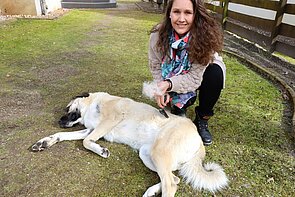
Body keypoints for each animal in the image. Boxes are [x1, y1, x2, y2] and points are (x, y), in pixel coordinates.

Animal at [31, 92, 229, 197]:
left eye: (67, 109)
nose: (59, 121)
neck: (93, 103)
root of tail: (199, 139)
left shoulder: (108, 121)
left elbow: (86, 142)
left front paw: (101, 150)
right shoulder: (90, 129)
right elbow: (65, 136)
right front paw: (44, 142)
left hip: (159, 152)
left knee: (171, 184)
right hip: (147, 154)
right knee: (174, 179)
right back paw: (151, 191)